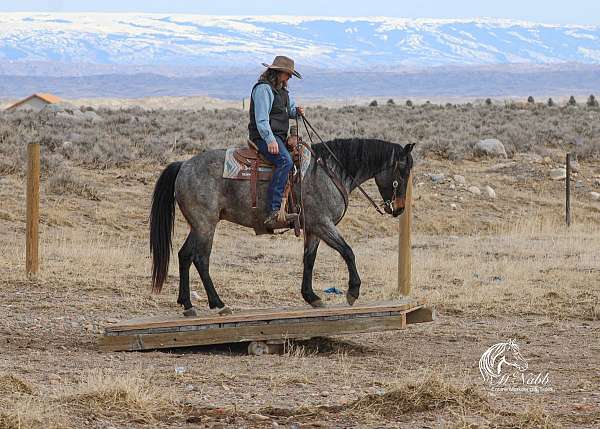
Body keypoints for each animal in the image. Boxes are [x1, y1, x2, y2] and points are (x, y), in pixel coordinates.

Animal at [149, 139, 412, 316]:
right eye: (402, 170)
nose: (399, 208)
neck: (329, 172)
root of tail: (183, 165)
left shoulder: (313, 229)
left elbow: (309, 259)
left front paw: (311, 297)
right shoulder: (323, 223)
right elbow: (348, 251)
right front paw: (353, 292)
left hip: (198, 225)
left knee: (185, 255)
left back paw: (188, 305)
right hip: (206, 224)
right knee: (200, 259)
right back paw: (219, 304)